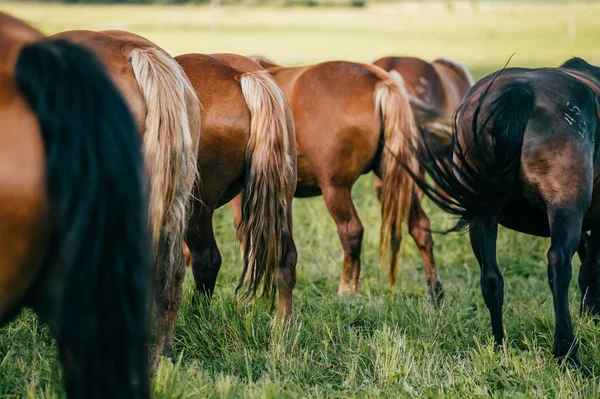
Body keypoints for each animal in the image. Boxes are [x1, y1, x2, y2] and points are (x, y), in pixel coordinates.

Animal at [176, 53, 300, 320]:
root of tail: (238, 75)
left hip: (196, 205)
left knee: (207, 259)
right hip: (284, 194)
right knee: (287, 258)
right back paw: (283, 325)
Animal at [244, 55, 446, 300]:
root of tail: (378, 81)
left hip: (335, 189)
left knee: (352, 230)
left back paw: (347, 289)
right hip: (400, 182)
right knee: (421, 227)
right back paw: (435, 290)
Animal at [410, 57, 600, 368]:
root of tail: (518, 92)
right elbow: (590, 269)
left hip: (483, 215)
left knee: (490, 278)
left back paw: (500, 346)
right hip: (565, 206)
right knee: (559, 264)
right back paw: (566, 351)